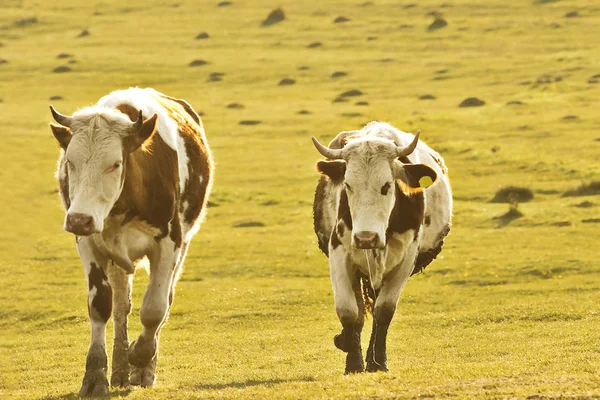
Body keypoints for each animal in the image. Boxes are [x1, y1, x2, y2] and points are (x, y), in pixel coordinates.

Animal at [49, 88, 213, 396]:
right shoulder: (89, 243)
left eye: (115, 164)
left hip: (184, 242)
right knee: (120, 306)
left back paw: (141, 368)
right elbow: (101, 305)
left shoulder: (169, 243)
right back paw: (120, 370)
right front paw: (95, 376)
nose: (78, 219)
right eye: (70, 162)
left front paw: (140, 356)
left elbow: (154, 308)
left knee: (165, 300)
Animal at [314, 122, 450, 376]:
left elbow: (384, 310)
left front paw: (378, 362)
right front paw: (350, 357)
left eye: (386, 185)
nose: (366, 238)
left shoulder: (406, 260)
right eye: (348, 185)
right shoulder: (339, 253)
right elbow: (348, 310)